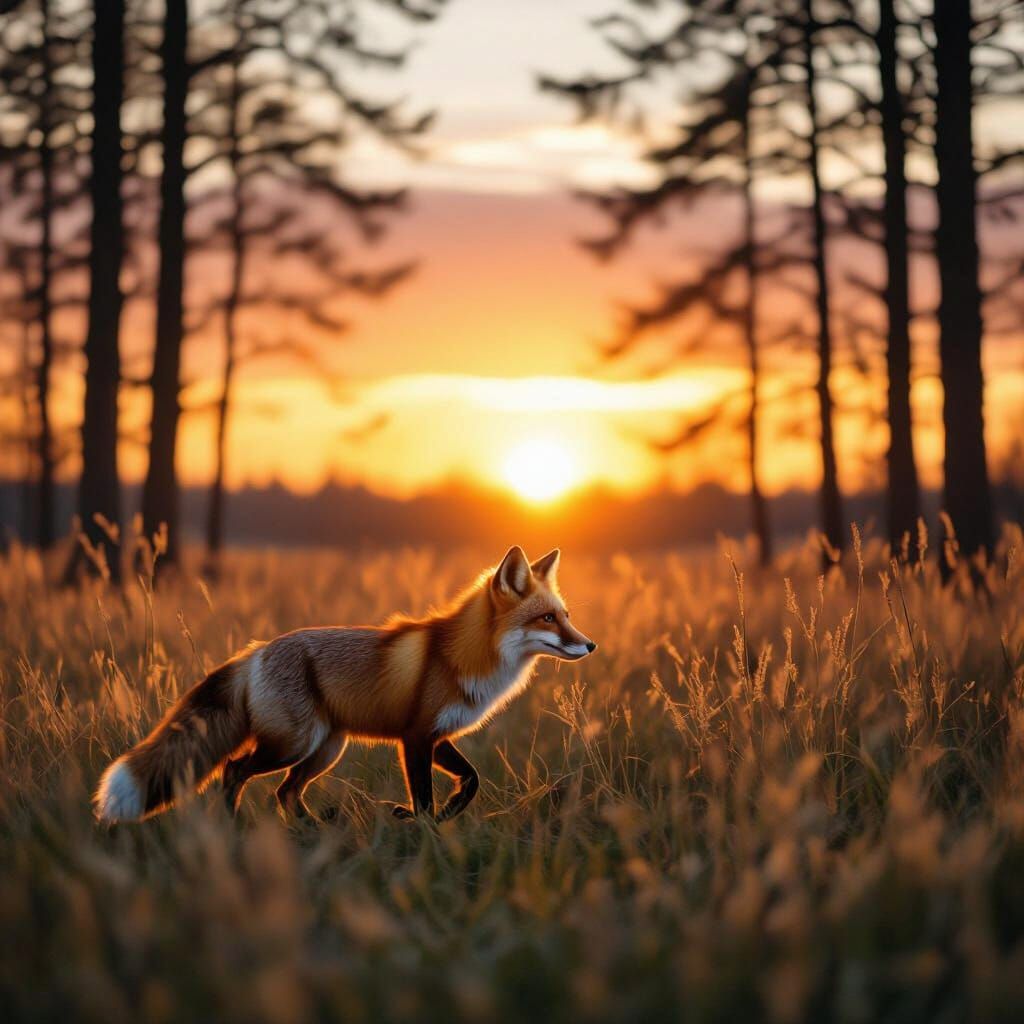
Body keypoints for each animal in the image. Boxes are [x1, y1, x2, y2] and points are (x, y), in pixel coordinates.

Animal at [94, 545, 596, 825]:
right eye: (547, 618)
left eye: (565, 615)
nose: (590, 644)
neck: (463, 657)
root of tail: (256, 651)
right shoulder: (415, 737)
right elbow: (424, 796)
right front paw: (426, 830)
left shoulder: (438, 736)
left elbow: (471, 780)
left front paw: (446, 814)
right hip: (294, 744)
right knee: (234, 770)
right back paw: (233, 826)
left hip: (326, 749)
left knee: (285, 792)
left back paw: (314, 831)